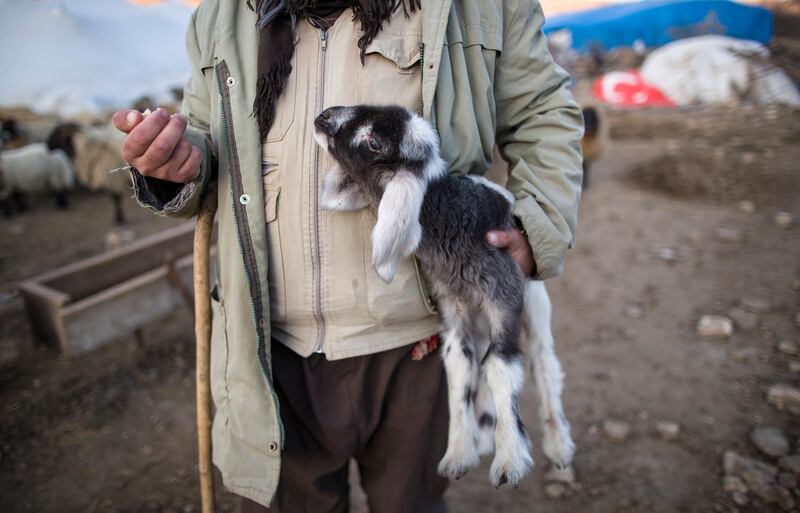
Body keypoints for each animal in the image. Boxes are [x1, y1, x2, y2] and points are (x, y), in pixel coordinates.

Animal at [312, 105, 576, 488]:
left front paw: (510, 460)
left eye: (374, 143)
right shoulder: (454, 308)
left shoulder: (504, 298)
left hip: (534, 299)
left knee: (545, 364)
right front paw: (457, 455)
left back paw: (558, 446)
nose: (322, 118)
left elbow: (501, 365)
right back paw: (485, 433)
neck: (453, 221)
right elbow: (459, 370)